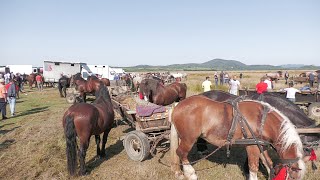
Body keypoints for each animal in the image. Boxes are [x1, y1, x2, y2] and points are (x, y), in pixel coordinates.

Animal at [172, 95, 304, 179]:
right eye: (293, 177)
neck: (263, 120)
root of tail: (178, 105)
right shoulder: (252, 146)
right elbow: (253, 168)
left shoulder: (261, 145)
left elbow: (268, 163)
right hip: (189, 138)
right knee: (181, 153)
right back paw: (191, 174)